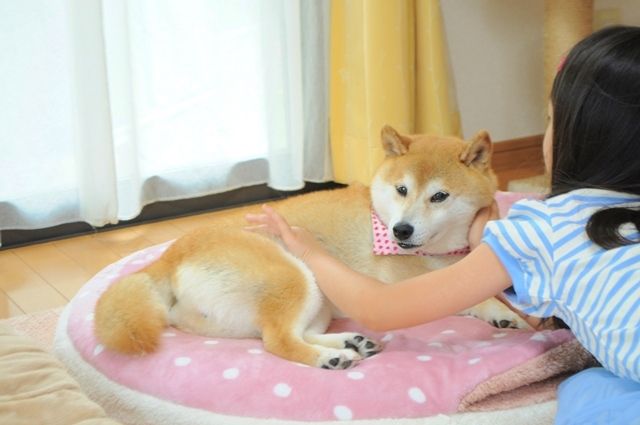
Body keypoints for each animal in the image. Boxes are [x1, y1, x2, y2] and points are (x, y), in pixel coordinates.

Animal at [94, 126, 528, 370]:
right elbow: (475, 297)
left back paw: (349, 343)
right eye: (402, 190)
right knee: (277, 341)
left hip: (315, 300)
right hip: (296, 276)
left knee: (279, 334)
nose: (401, 230)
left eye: (439, 196)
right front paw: (504, 314)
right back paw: (329, 357)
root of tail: (168, 257)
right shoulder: (401, 288)